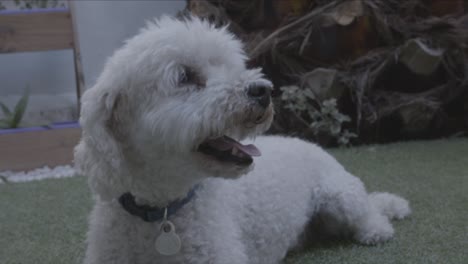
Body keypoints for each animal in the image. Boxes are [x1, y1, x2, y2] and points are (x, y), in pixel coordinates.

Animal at [75, 16, 412, 264]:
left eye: (230, 66)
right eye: (185, 76)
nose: (263, 90)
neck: (162, 214)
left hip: (341, 195)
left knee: (371, 215)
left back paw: (376, 230)